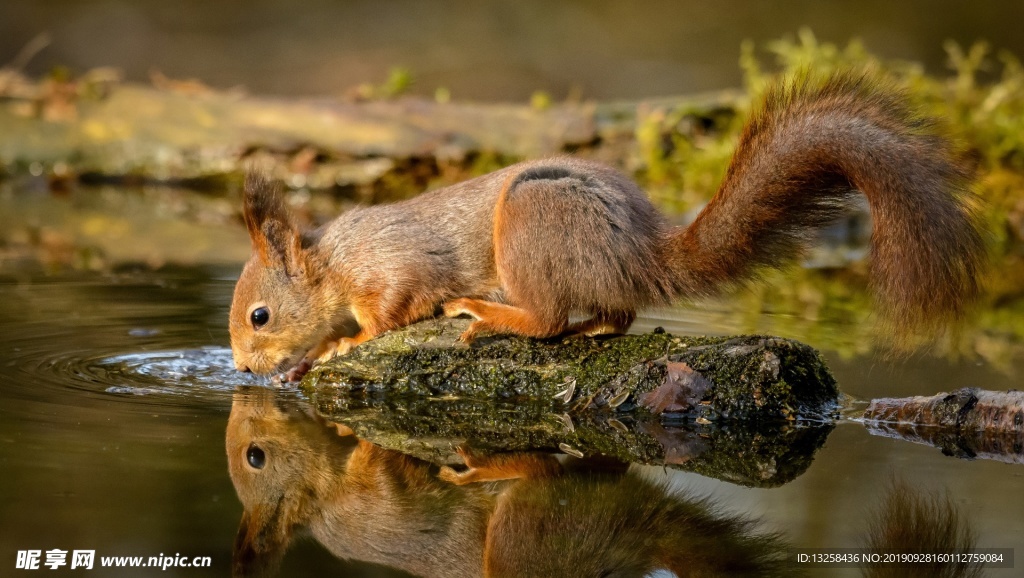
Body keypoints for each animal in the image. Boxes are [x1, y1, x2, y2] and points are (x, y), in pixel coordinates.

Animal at [230, 74, 983, 381]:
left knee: (546, 319)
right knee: (614, 316)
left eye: (260, 316)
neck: (333, 263)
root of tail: (640, 252)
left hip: (531, 220)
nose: (239, 368)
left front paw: (337, 345)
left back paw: (489, 314)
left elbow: (390, 313)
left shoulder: (392, 270)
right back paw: (591, 326)